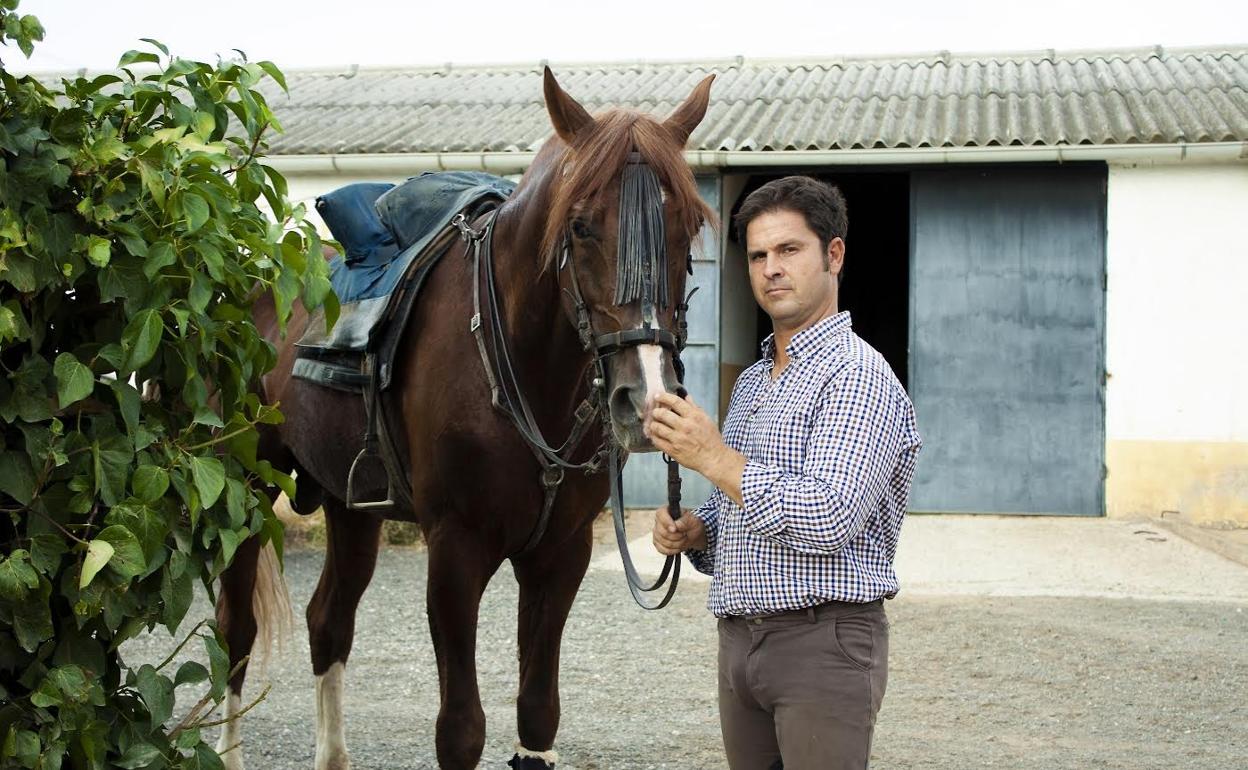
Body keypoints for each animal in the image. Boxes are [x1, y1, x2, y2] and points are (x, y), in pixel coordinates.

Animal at [214, 68, 716, 770]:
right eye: (581, 226)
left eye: (687, 225)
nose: (645, 402)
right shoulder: (454, 550)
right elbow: (460, 730)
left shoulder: (560, 556)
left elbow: (537, 714)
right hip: (245, 490)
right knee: (236, 632)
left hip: (350, 505)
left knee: (328, 622)